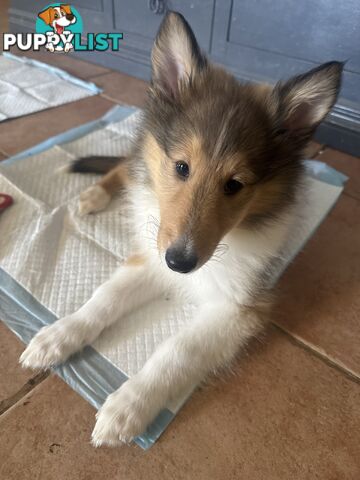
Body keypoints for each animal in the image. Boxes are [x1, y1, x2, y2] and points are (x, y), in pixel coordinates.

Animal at [20, 11, 344, 446]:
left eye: (235, 185)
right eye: (181, 167)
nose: (180, 263)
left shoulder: (238, 307)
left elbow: (178, 350)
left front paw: (127, 407)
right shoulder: (151, 255)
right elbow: (103, 298)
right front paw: (56, 337)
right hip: (139, 159)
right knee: (124, 165)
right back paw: (92, 196)